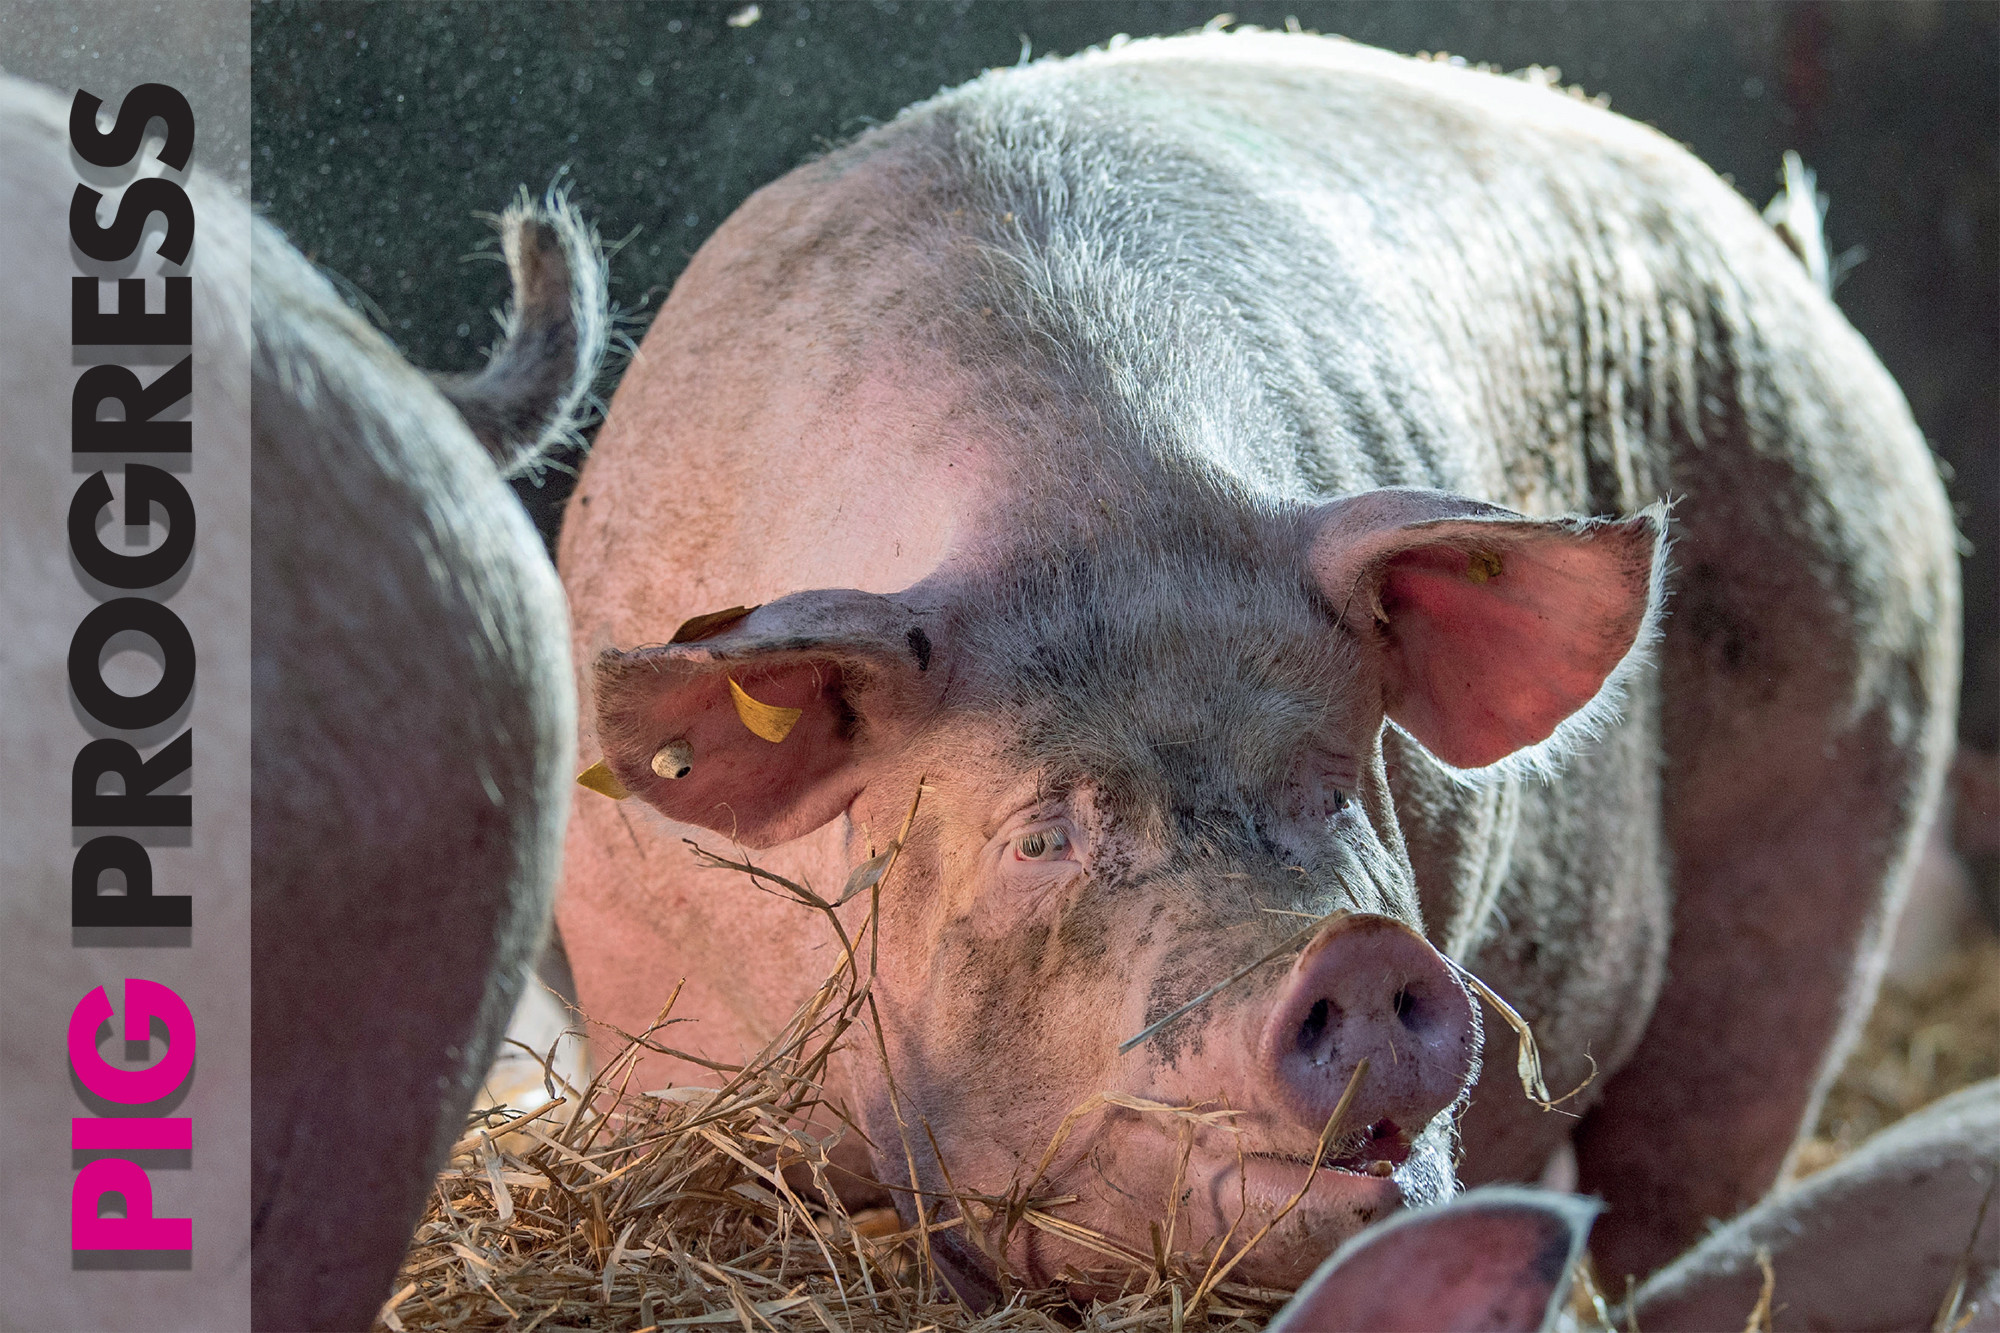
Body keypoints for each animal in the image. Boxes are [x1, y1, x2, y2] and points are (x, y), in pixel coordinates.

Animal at [553, 31, 1959, 1297]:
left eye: (1331, 790)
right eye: (1037, 838)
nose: (1355, 952)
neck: (1090, 516)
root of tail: (1789, 265)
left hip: (1830, 805)